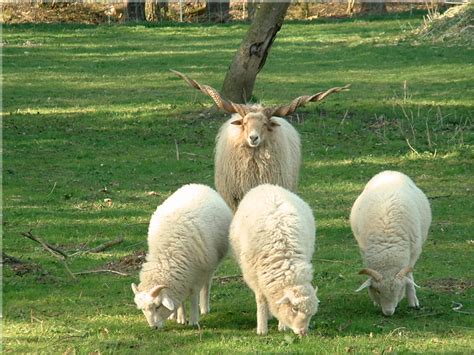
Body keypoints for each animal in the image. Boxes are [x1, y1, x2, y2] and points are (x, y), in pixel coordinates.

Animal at [131, 185, 231, 330]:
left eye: (158, 306)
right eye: (143, 309)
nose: (153, 328)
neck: (167, 255)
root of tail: (198, 185)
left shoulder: (196, 276)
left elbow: (194, 296)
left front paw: (193, 320)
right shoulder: (181, 278)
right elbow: (180, 299)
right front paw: (181, 317)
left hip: (210, 265)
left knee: (207, 284)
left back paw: (205, 308)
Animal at [230, 184, 318, 336]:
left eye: (311, 314)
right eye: (294, 309)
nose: (303, 332)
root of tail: (267, 185)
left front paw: (282, 325)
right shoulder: (254, 277)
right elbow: (261, 300)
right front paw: (262, 328)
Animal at [348, 172, 434, 318]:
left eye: (399, 291)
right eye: (378, 291)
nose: (388, 313)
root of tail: (389, 172)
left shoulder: (413, 253)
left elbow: (409, 277)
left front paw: (413, 301)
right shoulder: (364, 251)